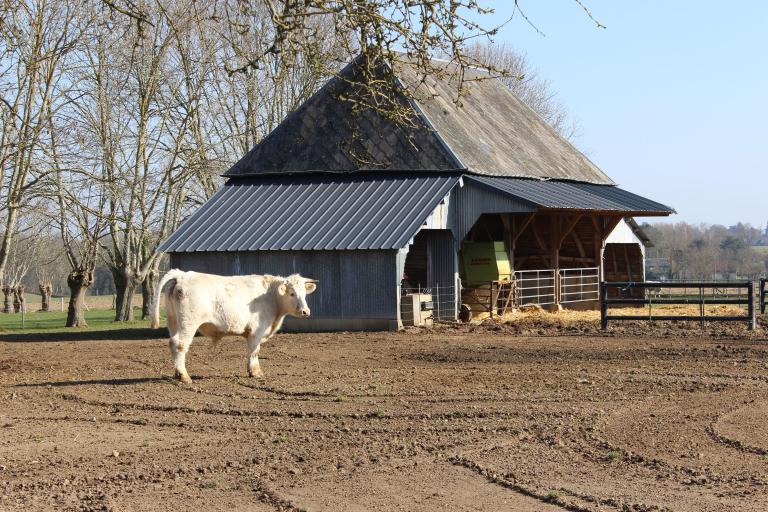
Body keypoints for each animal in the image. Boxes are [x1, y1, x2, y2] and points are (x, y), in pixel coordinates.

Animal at [148, 270, 316, 382]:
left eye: (304, 294)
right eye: (292, 293)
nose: (305, 311)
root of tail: (182, 275)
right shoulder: (256, 331)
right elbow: (254, 351)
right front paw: (256, 372)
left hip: (173, 322)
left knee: (172, 343)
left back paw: (177, 373)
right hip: (188, 323)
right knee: (180, 344)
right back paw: (184, 376)